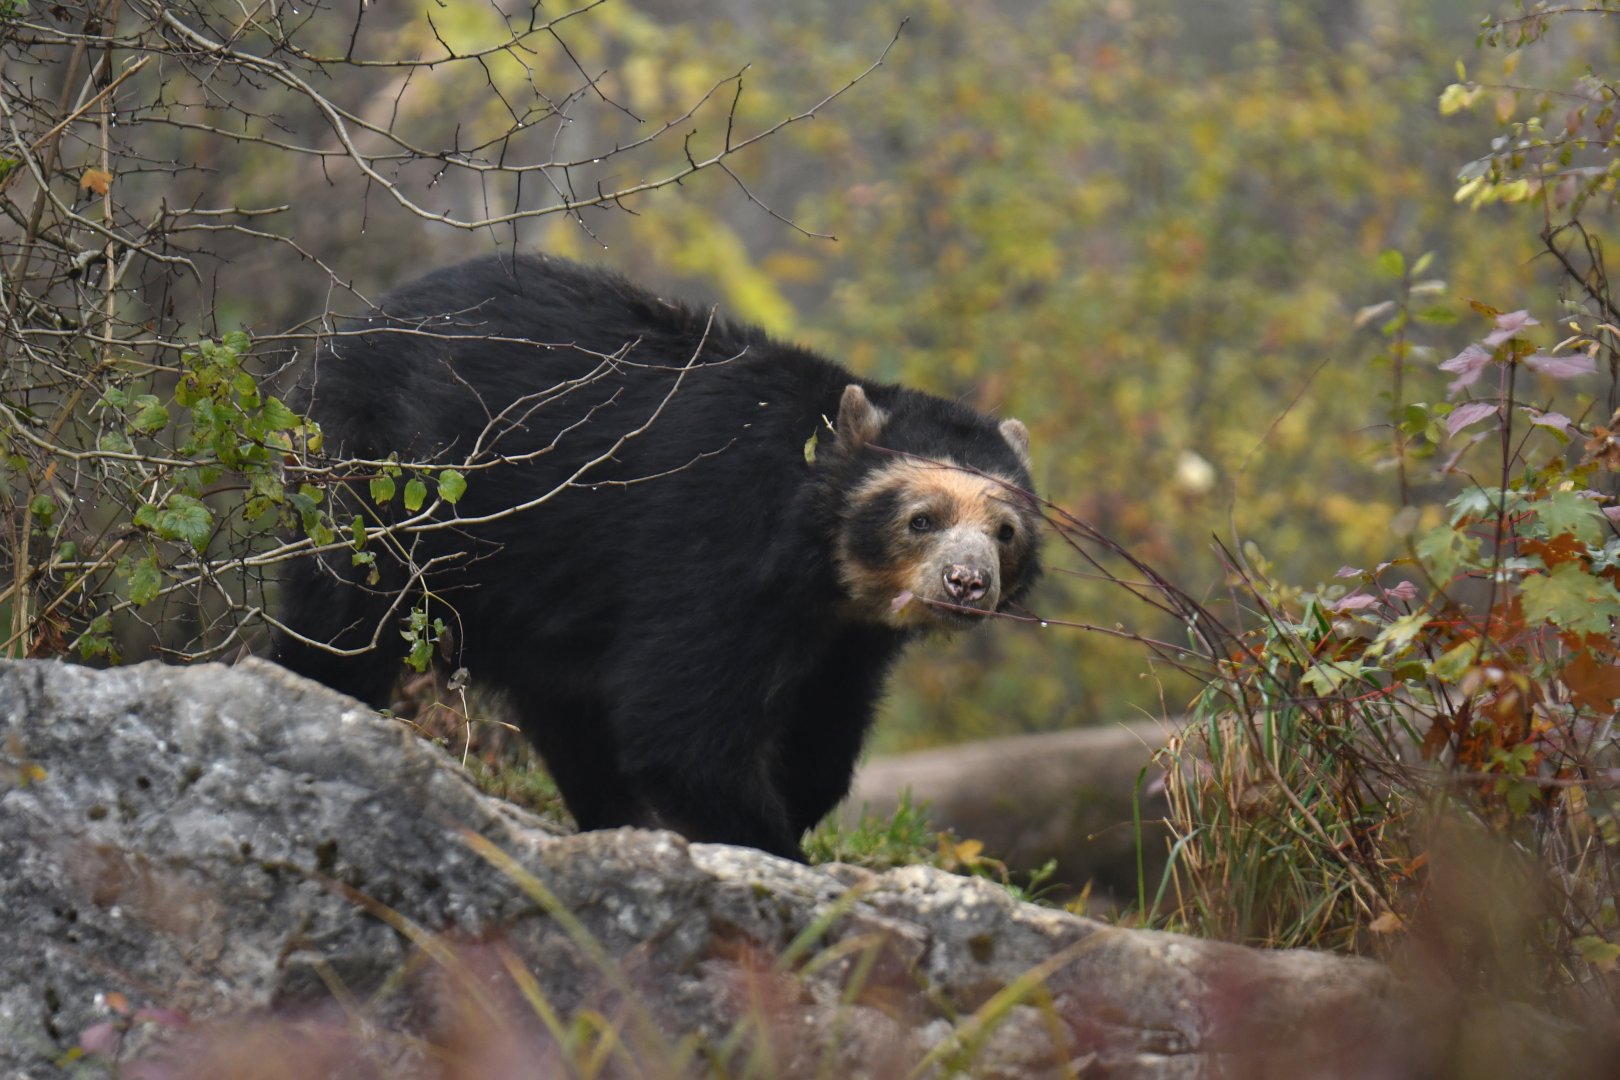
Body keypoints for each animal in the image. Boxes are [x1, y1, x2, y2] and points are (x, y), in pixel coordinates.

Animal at [274, 253, 1041, 860]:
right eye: (922, 519)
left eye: (1005, 531)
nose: (967, 583)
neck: (822, 567)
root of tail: (349, 326)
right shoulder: (714, 544)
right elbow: (680, 725)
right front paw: (772, 850)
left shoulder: (851, 634)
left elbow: (824, 730)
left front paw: (793, 806)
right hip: (376, 476)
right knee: (344, 616)